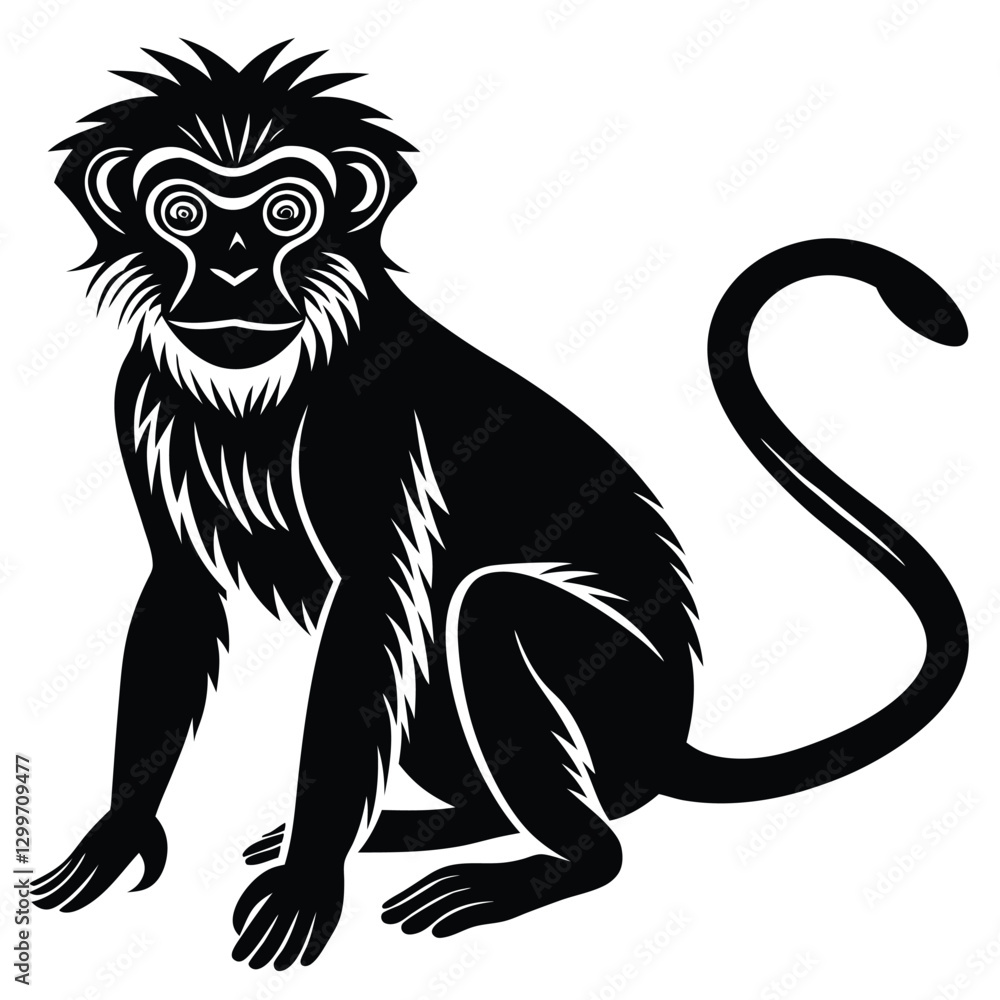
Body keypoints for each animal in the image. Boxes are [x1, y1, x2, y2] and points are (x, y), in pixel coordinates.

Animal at [31, 41, 969, 971]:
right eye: (183, 212)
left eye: (286, 211)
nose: (232, 267)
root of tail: (674, 738)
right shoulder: (136, 400)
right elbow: (182, 592)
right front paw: (119, 833)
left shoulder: (367, 422)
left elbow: (370, 603)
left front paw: (307, 879)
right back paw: (431, 828)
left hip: (620, 700)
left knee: (491, 607)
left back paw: (557, 864)